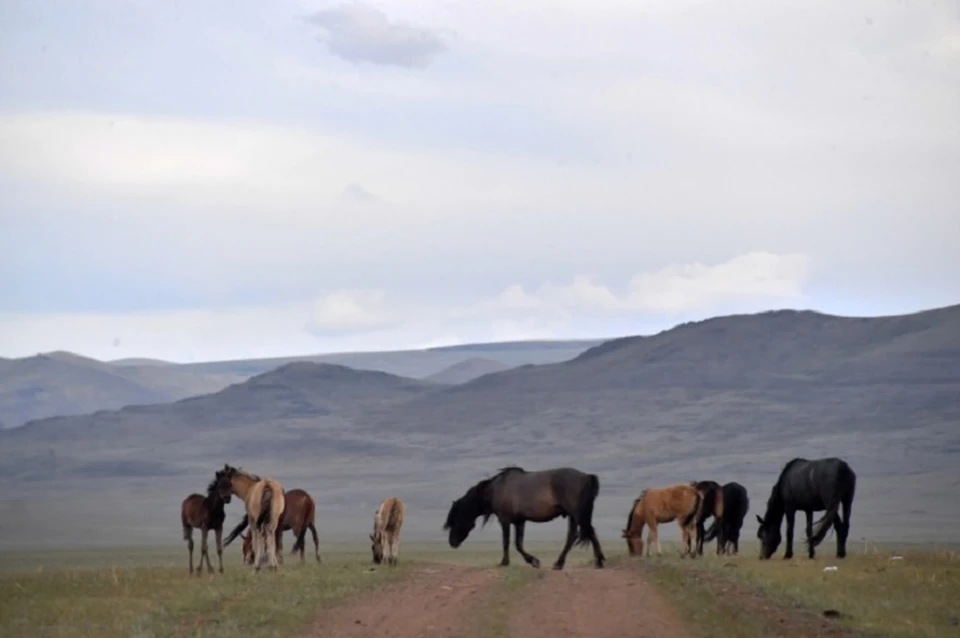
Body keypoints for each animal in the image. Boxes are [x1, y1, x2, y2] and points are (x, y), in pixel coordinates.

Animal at [440, 464, 604, 568]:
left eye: (455, 521)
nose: (452, 542)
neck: (494, 490)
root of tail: (587, 477)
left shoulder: (504, 520)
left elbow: (507, 542)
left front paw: (505, 562)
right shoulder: (520, 521)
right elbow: (518, 544)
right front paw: (533, 561)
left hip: (577, 514)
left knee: (585, 533)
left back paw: (590, 562)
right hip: (574, 515)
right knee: (579, 534)